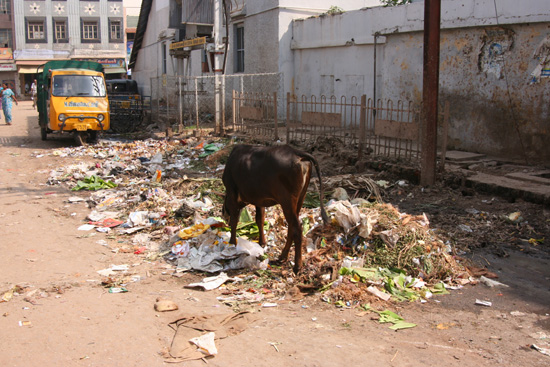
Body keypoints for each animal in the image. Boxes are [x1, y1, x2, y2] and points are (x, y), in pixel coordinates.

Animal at [222, 144, 330, 274]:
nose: (224, 216)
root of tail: (297, 152)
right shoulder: (259, 200)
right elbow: (260, 219)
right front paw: (262, 243)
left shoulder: (232, 192)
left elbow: (235, 221)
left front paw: (232, 243)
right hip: (300, 198)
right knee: (292, 227)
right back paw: (282, 256)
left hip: (287, 201)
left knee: (297, 229)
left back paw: (297, 266)